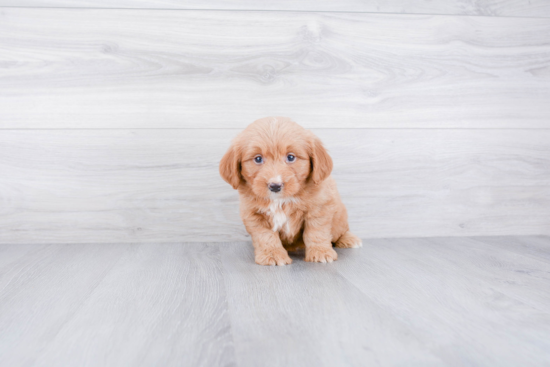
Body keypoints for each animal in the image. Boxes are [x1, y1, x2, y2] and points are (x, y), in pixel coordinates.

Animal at [220, 116, 362, 266]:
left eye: (291, 157)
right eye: (258, 159)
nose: (275, 186)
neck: (281, 200)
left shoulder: (319, 208)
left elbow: (316, 231)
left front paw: (320, 252)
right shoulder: (254, 215)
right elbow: (265, 236)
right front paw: (272, 254)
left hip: (339, 217)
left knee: (340, 230)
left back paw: (349, 239)